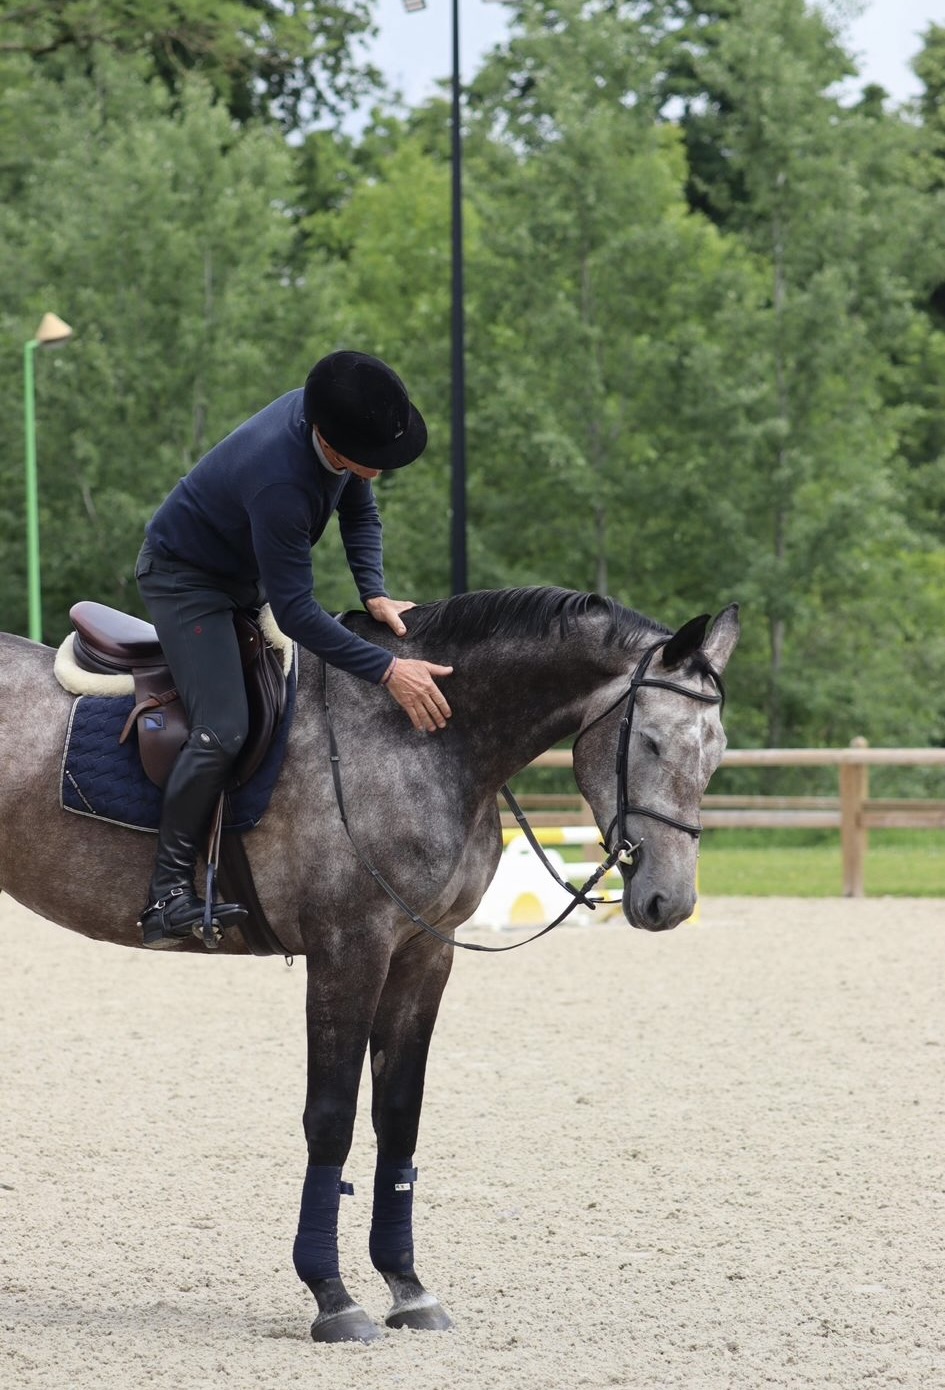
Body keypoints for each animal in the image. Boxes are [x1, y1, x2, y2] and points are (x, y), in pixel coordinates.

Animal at [0, 586, 739, 1344]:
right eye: (650, 742)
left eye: (714, 753)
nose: (670, 902)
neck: (425, 740)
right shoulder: (347, 950)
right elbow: (331, 1118)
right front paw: (332, 1295)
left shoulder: (424, 951)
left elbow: (399, 1114)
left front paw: (406, 1286)